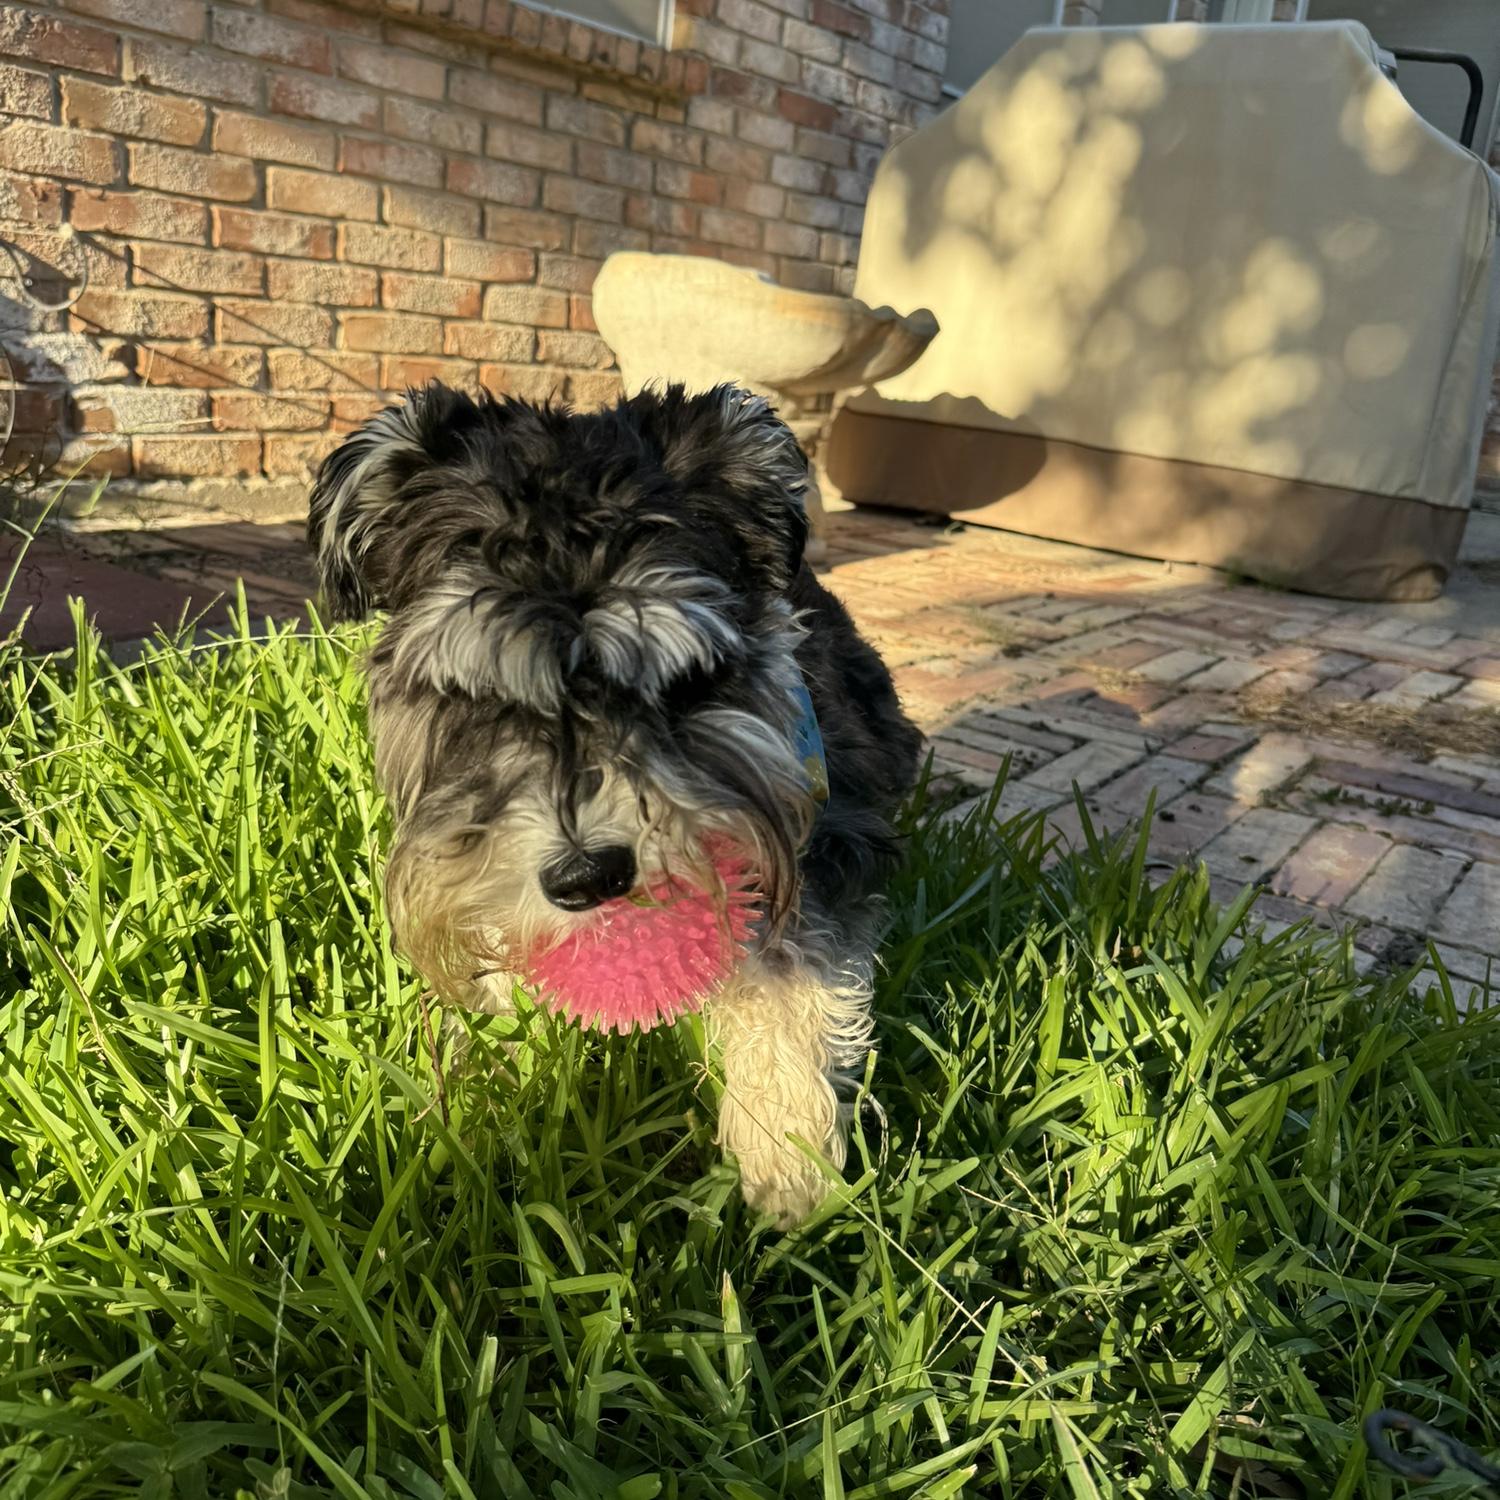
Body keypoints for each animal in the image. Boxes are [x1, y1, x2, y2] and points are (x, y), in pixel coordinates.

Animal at [307, 382, 921, 1224]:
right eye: (471, 693)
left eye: (681, 681)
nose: (586, 876)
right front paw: (485, 1104)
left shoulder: (823, 837)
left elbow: (789, 969)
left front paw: (785, 1149)